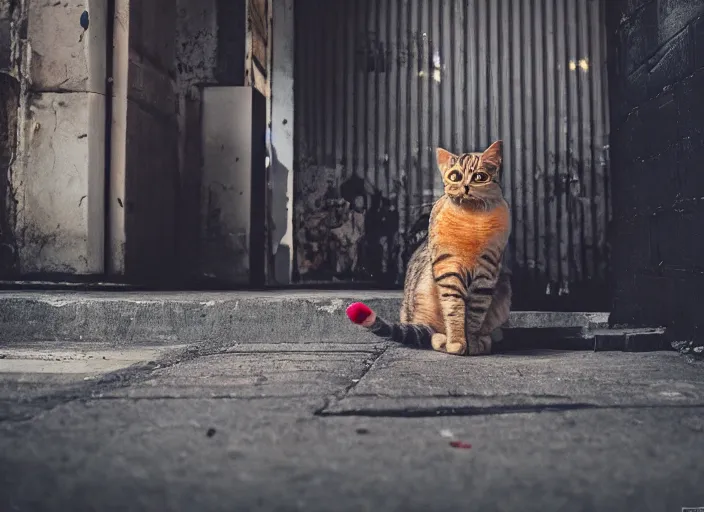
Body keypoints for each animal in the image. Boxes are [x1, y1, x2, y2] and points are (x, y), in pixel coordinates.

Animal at [346, 140, 512, 356]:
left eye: (479, 177)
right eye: (455, 176)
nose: (466, 187)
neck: (473, 219)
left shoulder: (486, 273)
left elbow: (475, 315)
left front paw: (473, 344)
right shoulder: (448, 269)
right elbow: (455, 310)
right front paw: (457, 343)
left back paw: (488, 339)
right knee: (430, 334)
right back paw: (443, 340)